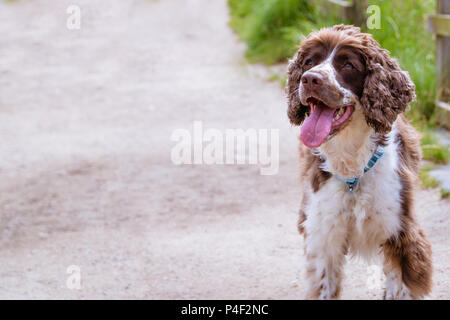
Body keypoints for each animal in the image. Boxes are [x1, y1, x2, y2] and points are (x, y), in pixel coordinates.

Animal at [286, 25, 430, 300]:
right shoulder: (322, 235)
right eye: (309, 62)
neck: (351, 166)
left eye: (348, 65)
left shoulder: (401, 234)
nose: (309, 79)